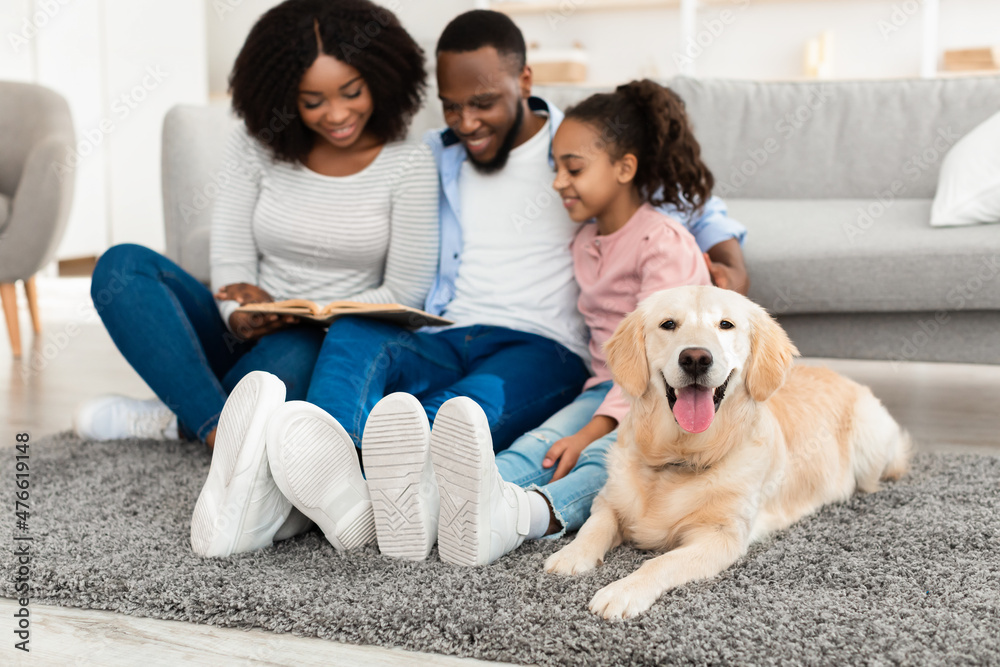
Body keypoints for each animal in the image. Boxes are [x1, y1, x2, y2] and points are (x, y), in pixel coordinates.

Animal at [544, 286, 912, 620]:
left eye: (725, 324)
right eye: (668, 324)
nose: (695, 358)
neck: (682, 455)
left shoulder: (721, 537)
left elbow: (661, 561)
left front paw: (621, 591)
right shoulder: (608, 499)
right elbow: (595, 525)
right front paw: (571, 554)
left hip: (869, 438)